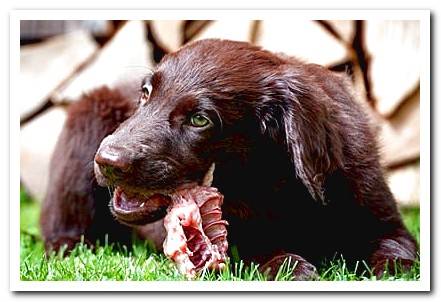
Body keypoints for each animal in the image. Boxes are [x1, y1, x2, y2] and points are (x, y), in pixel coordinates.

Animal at [40, 39, 416, 280]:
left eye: (199, 120)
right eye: (145, 95)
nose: (107, 161)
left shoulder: (378, 209)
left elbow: (400, 251)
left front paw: (388, 269)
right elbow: (255, 250)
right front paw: (287, 266)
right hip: (87, 118)